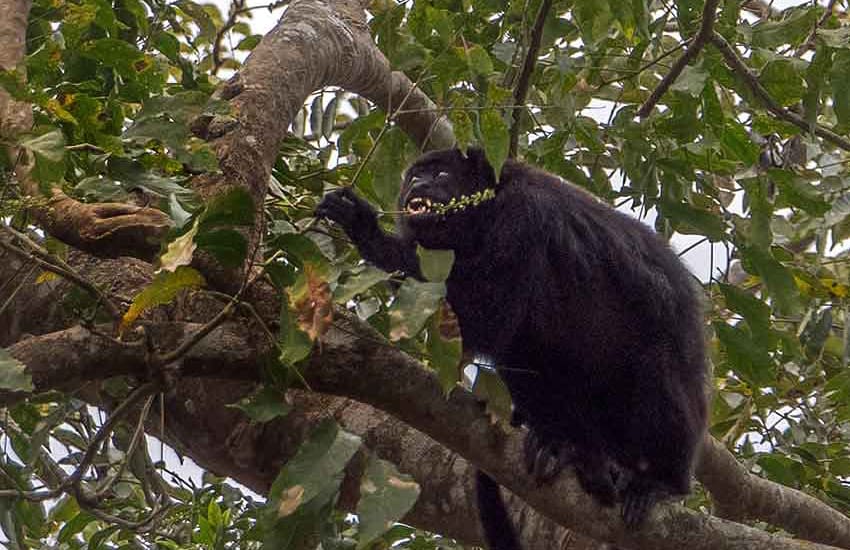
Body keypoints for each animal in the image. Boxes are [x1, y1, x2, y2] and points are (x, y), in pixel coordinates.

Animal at [314, 149, 704, 548]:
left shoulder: (524, 216)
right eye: (413, 177)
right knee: (523, 350)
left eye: (440, 174)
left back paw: (660, 482)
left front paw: (367, 229)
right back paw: (565, 446)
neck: (483, 213)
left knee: (657, 371)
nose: (418, 184)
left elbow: (488, 313)